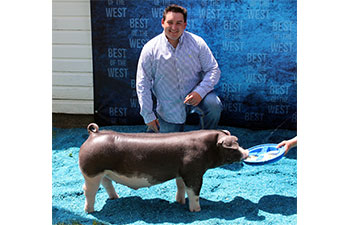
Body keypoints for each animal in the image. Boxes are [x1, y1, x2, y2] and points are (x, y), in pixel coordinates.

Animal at [79, 123, 249, 213]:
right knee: (88, 190)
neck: (208, 148)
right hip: (91, 173)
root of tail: (94, 134)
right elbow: (194, 191)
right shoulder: (193, 172)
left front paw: (180, 202)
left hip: (103, 172)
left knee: (106, 184)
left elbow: (180, 186)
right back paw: (89, 211)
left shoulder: (181, 172)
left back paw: (115, 198)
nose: (246, 153)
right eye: (233, 146)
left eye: (237, 141)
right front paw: (196, 210)